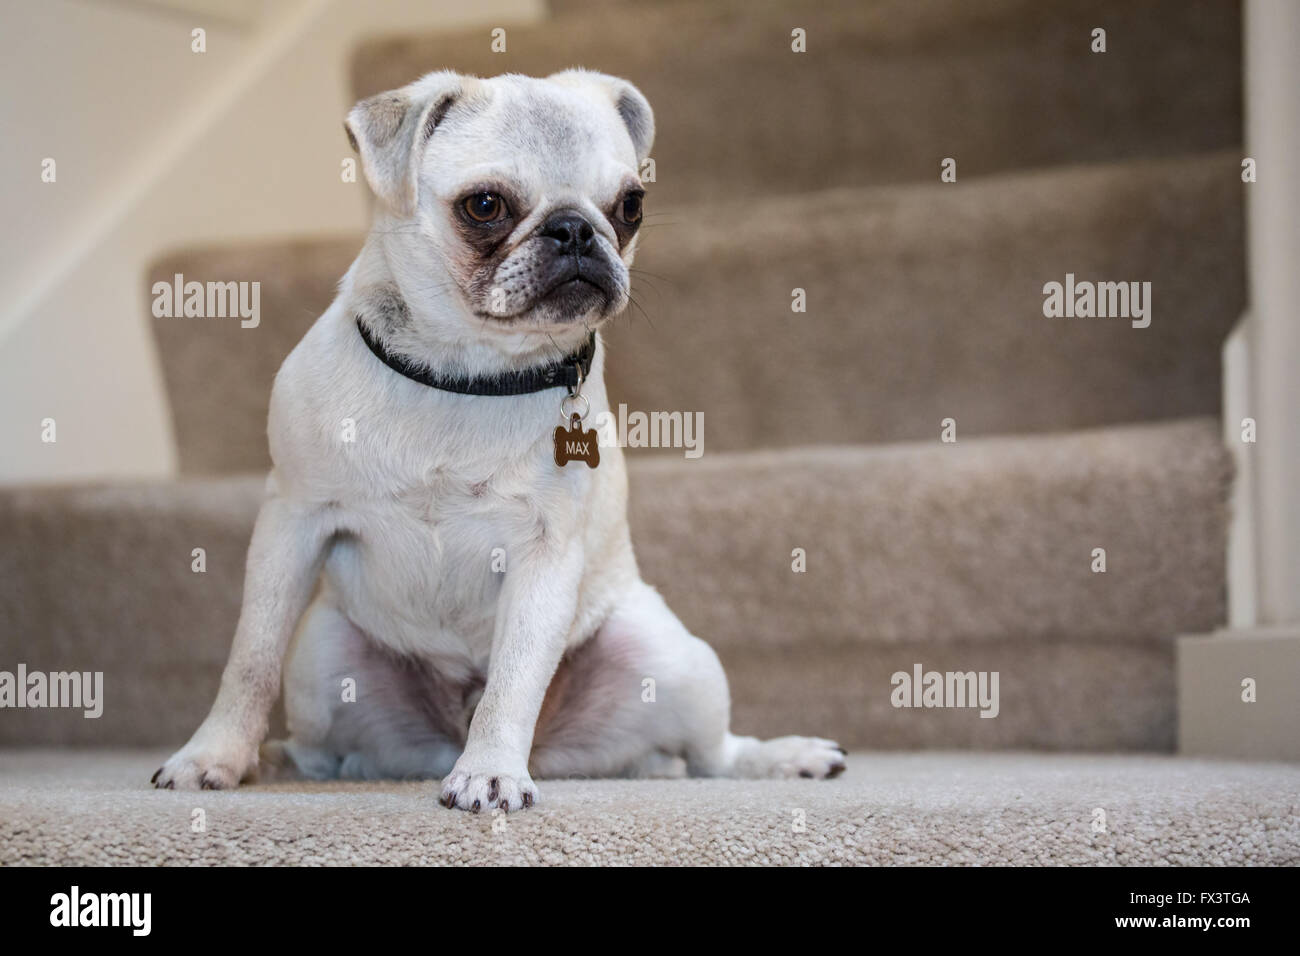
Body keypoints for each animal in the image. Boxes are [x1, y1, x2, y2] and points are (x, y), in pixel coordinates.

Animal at [152, 70, 847, 811]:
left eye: (630, 205)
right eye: (484, 206)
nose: (576, 230)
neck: (469, 374)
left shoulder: (545, 556)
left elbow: (514, 679)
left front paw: (490, 770)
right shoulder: (291, 523)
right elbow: (249, 659)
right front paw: (212, 756)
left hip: (672, 656)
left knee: (713, 753)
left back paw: (785, 756)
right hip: (320, 652)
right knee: (323, 752)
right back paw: (272, 759)